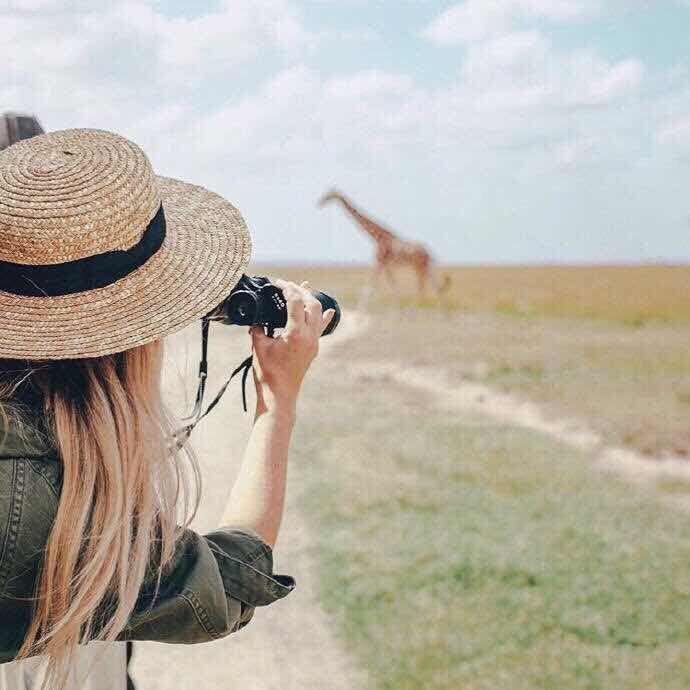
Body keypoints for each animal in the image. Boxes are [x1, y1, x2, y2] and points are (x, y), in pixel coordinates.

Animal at [317, 188, 449, 307]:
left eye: (329, 194)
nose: (319, 203)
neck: (377, 238)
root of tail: (429, 252)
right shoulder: (385, 265)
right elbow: (393, 287)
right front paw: (396, 310)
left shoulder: (379, 262)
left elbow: (370, 288)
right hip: (423, 267)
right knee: (433, 287)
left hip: (419, 267)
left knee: (424, 288)